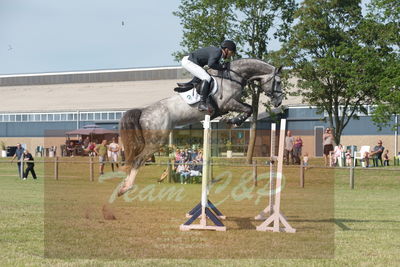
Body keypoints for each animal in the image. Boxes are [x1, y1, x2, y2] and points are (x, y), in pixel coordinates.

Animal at [118, 58, 284, 197]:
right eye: (278, 82)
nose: (279, 102)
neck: (233, 76)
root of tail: (143, 111)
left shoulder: (227, 106)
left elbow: (248, 108)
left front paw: (234, 120)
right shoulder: (228, 103)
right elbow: (249, 108)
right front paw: (235, 120)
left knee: (136, 159)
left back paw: (124, 185)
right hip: (156, 141)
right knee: (138, 160)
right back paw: (125, 188)